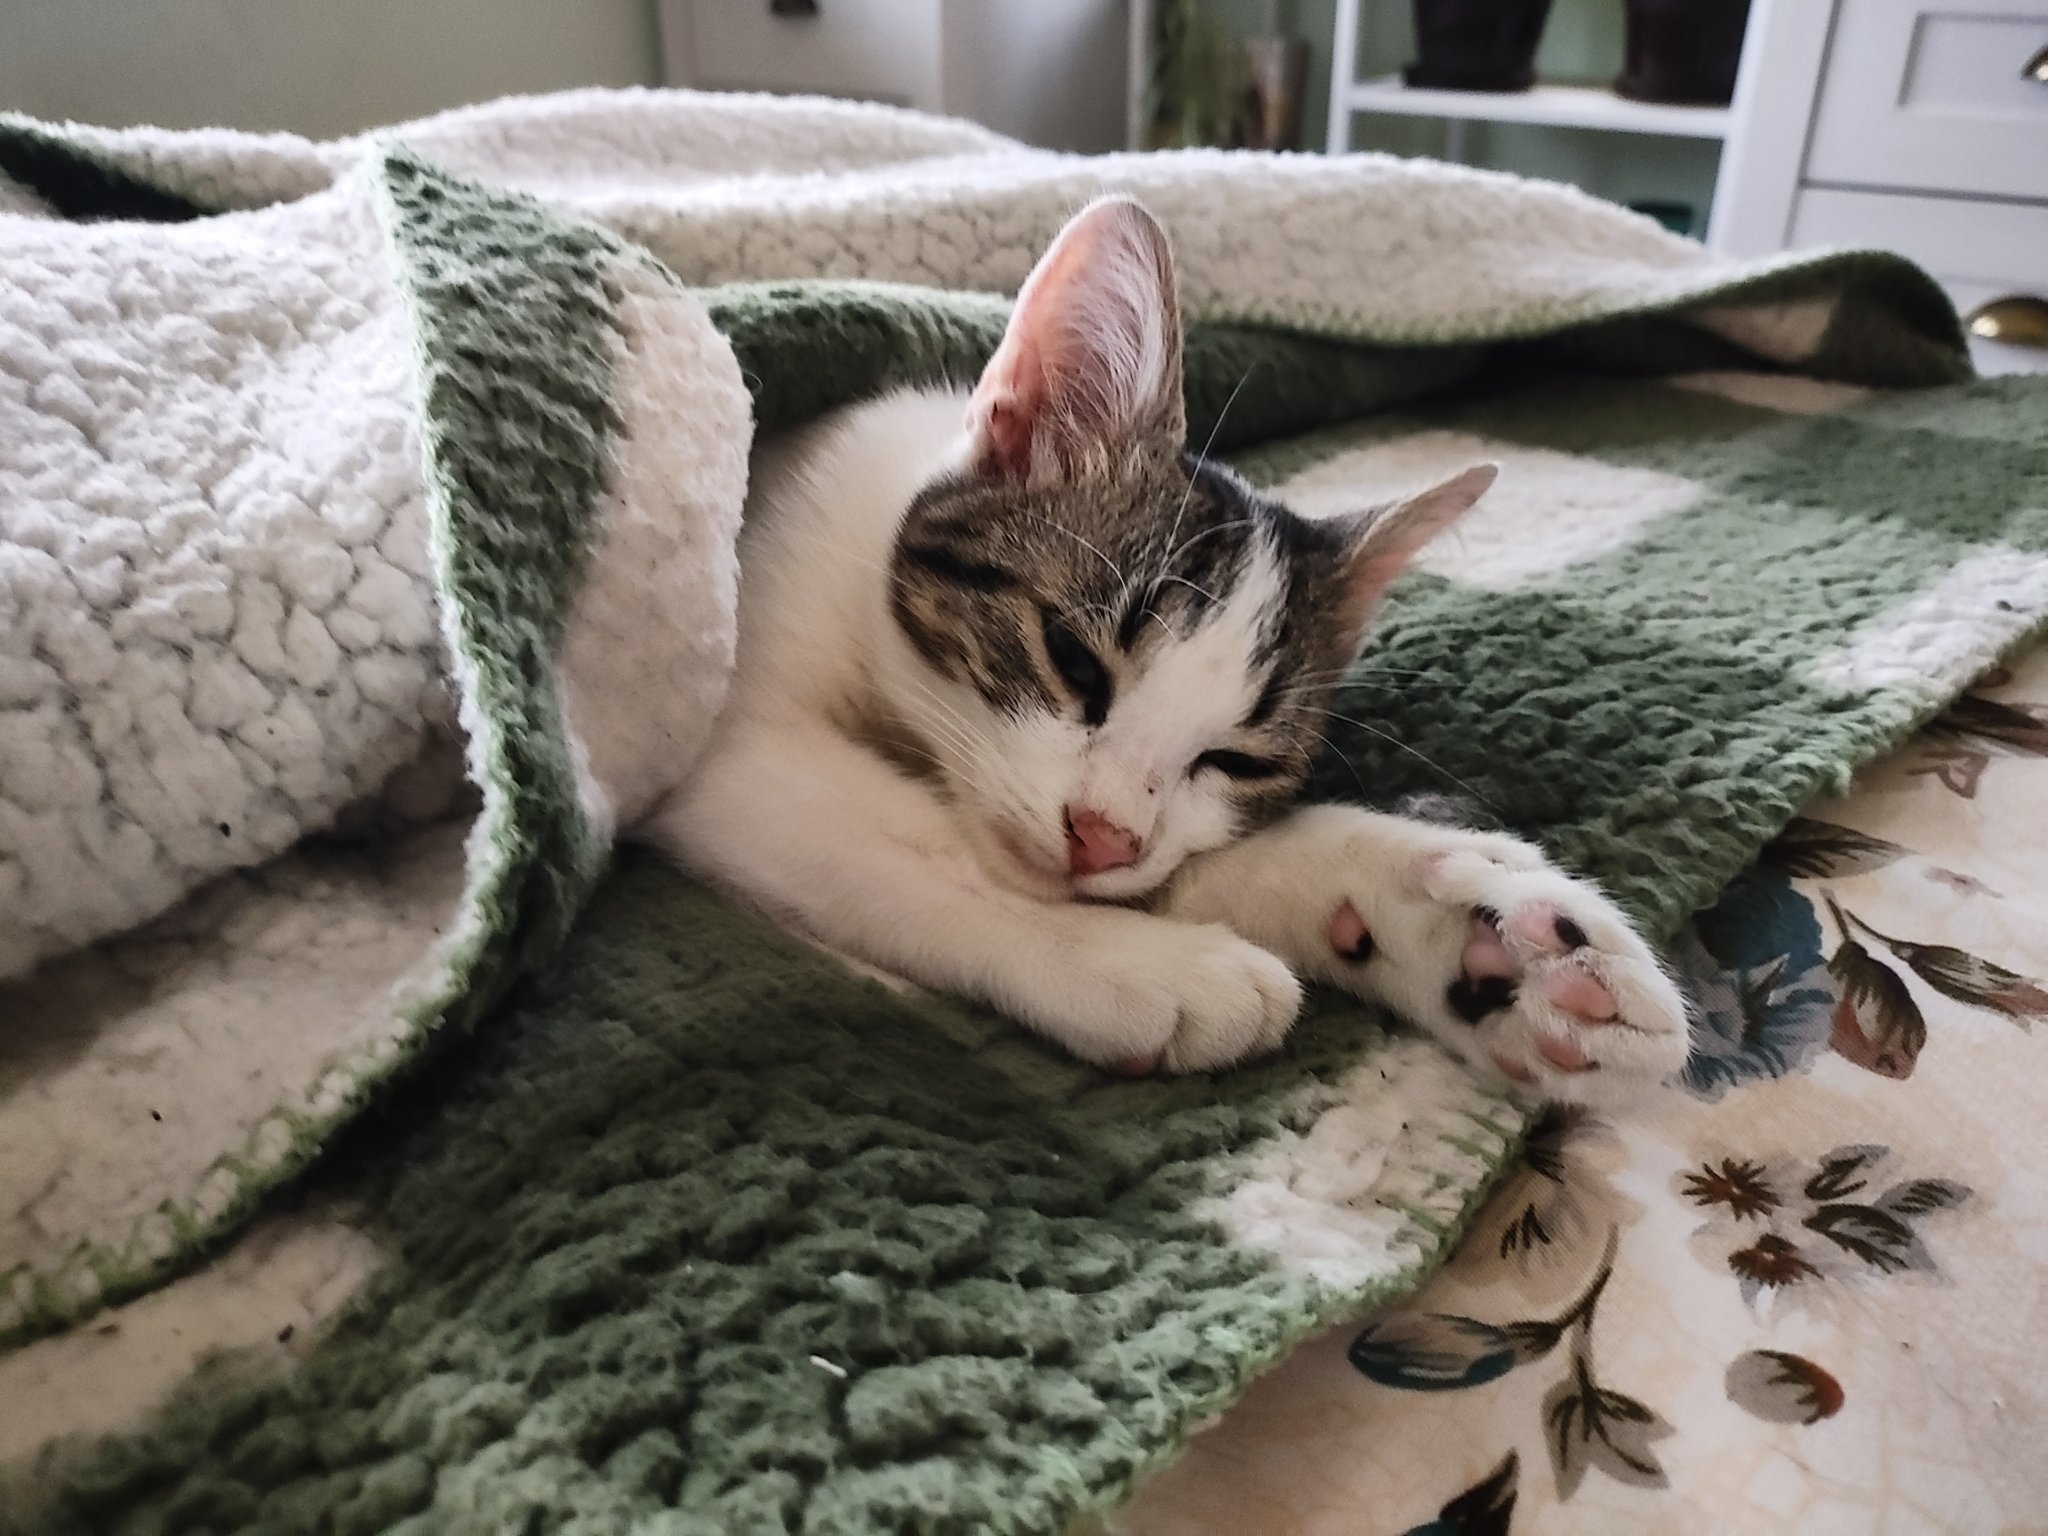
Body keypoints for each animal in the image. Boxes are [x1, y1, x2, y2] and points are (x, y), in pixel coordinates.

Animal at [641, 196, 1689, 1101]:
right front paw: (1129, 959)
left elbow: (1183, 863)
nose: (1102, 838)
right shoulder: (713, 732)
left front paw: (1465, 922)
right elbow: (906, 845)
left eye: (1235, 760)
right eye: (1071, 657)